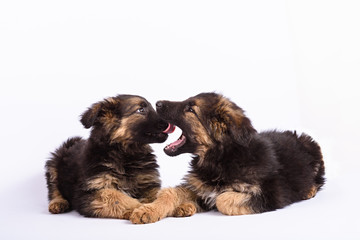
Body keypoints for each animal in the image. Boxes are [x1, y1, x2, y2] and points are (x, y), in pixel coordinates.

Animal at [45, 94, 173, 218]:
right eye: (140, 110)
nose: (169, 123)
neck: (126, 154)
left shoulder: (148, 185)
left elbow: (160, 195)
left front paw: (157, 208)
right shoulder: (88, 192)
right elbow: (117, 197)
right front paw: (139, 209)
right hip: (53, 165)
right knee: (54, 189)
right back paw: (58, 203)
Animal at [130, 93, 326, 224]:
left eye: (191, 109)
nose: (157, 103)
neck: (221, 158)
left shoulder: (272, 193)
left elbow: (222, 199)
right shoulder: (199, 185)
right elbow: (170, 193)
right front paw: (149, 210)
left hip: (313, 148)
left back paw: (309, 190)